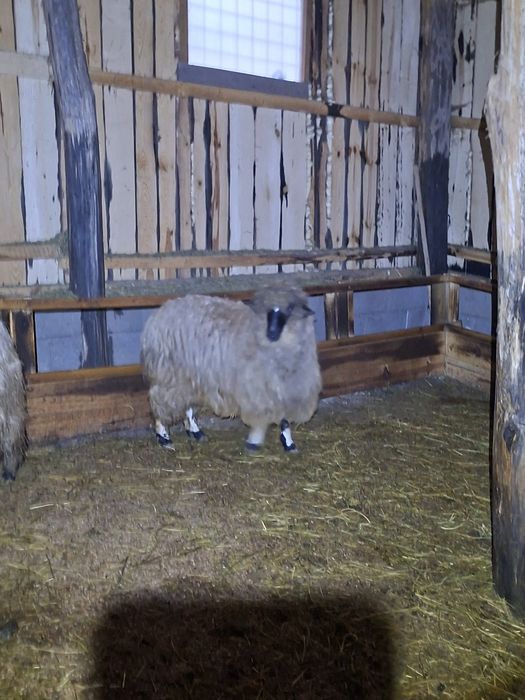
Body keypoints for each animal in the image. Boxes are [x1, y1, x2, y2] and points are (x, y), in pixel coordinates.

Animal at [140, 284, 322, 452]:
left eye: (290, 308)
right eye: (266, 310)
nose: (271, 333)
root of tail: (160, 313)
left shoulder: (285, 390)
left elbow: (284, 421)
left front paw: (289, 444)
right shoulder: (257, 391)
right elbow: (260, 418)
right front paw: (254, 442)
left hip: (189, 376)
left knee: (188, 406)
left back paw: (196, 432)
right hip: (168, 374)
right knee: (161, 403)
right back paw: (165, 438)